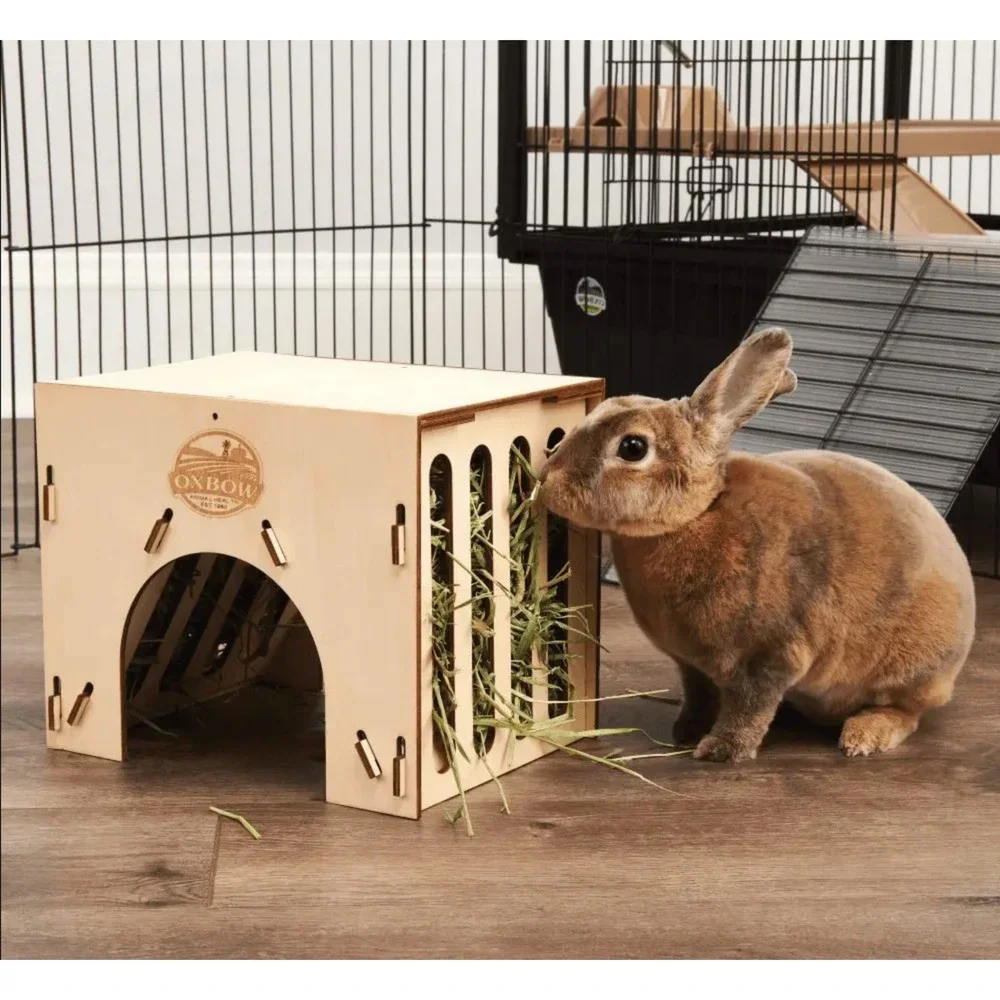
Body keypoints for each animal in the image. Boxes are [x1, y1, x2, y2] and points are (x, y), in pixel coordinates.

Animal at [538, 327, 976, 762]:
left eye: (633, 447)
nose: (547, 480)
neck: (698, 516)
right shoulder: (693, 666)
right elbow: (699, 697)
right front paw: (687, 733)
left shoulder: (769, 656)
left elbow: (749, 707)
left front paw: (720, 749)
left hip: (909, 670)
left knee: (905, 711)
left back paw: (864, 736)